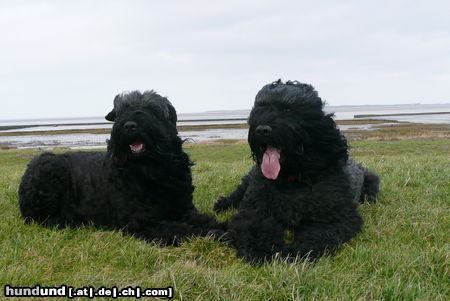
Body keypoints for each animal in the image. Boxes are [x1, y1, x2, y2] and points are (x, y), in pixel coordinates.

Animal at [19, 89, 223, 244]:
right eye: (122, 110)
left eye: (151, 108)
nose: (129, 125)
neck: (151, 171)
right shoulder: (143, 222)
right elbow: (185, 230)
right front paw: (218, 235)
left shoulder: (184, 209)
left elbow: (206, 221)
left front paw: (223, 227)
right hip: (48, 171)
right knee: (41, 218)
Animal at [214, 81, 380, 262]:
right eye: (260, 108)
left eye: (288, 110)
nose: (262, 129)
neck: (293, 178)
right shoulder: (253, 211)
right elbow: (254, 228)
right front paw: (259, 250)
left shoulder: (334, 218)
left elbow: (315, 236)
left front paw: (295, 253)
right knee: (236, 194)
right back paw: (222, 204)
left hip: (371, 180)